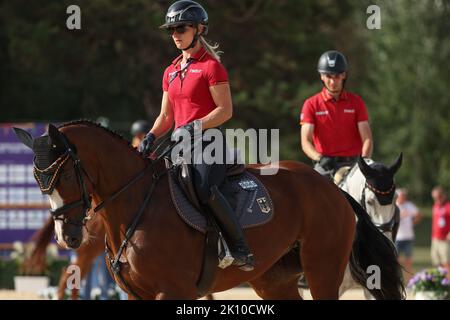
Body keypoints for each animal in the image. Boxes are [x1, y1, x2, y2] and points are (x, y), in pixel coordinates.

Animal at [13, 121, 404, 298]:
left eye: (64, 175)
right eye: (37, 179)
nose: (67, 234)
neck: (135, 206)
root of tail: (332, 191)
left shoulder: (171, 291)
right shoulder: (139, 294)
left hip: (323, 272)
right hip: (275, 280)